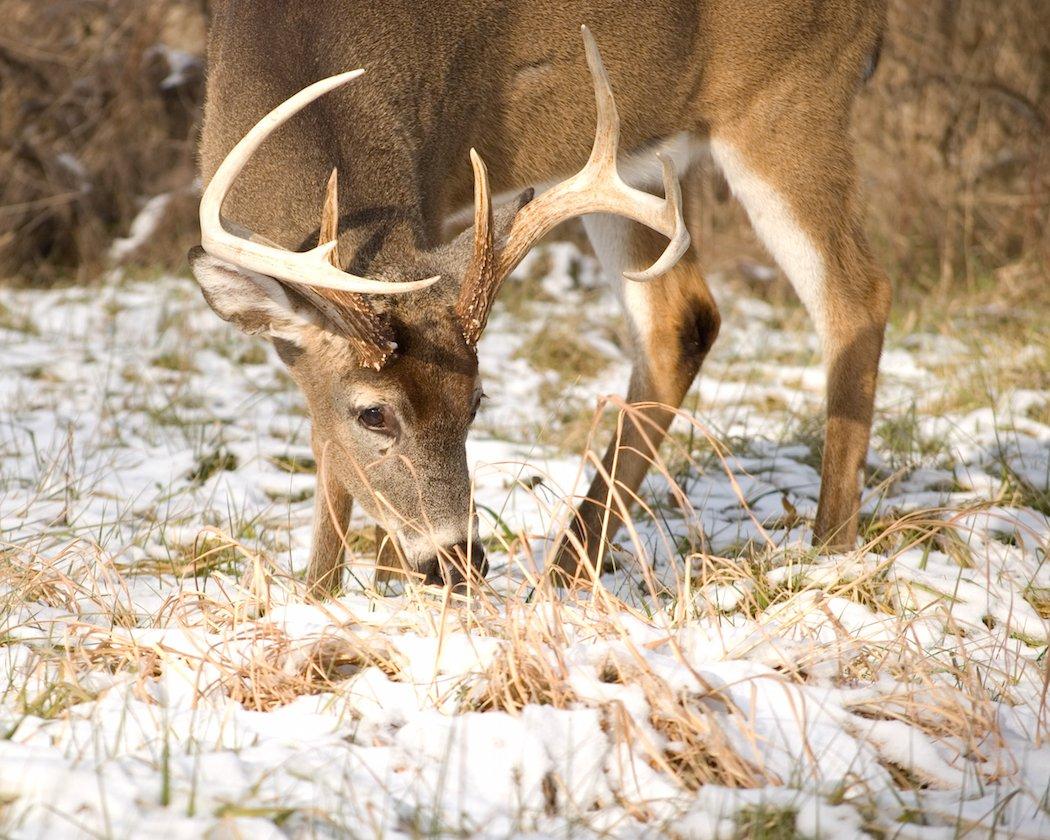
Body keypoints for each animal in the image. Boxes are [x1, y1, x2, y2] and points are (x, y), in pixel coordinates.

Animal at [188, 0, 886, 592]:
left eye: (476, 402)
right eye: (373, 413)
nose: (458, 561)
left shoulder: (435, 190)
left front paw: (363, 592)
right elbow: (325, 445)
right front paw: (329, 594)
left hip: (789, 99)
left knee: (856, 298)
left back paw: (829, 550)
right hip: (635, 164)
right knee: (682, 320)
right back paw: (569, 569)